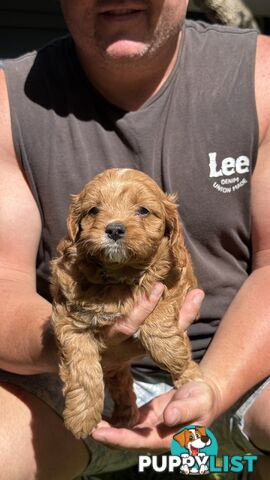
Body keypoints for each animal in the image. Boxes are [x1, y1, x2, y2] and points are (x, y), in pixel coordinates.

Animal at [51, 166, 200, 438]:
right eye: (93, 210)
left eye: (142, 210)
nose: (114, 229)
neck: (118, 275)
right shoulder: (69, 318)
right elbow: (82, 369)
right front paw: (81, 417)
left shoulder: (181, 279)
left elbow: (159, 301)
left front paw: (171, 353)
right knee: (119, 381)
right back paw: (125, 415)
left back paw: (190, 376)